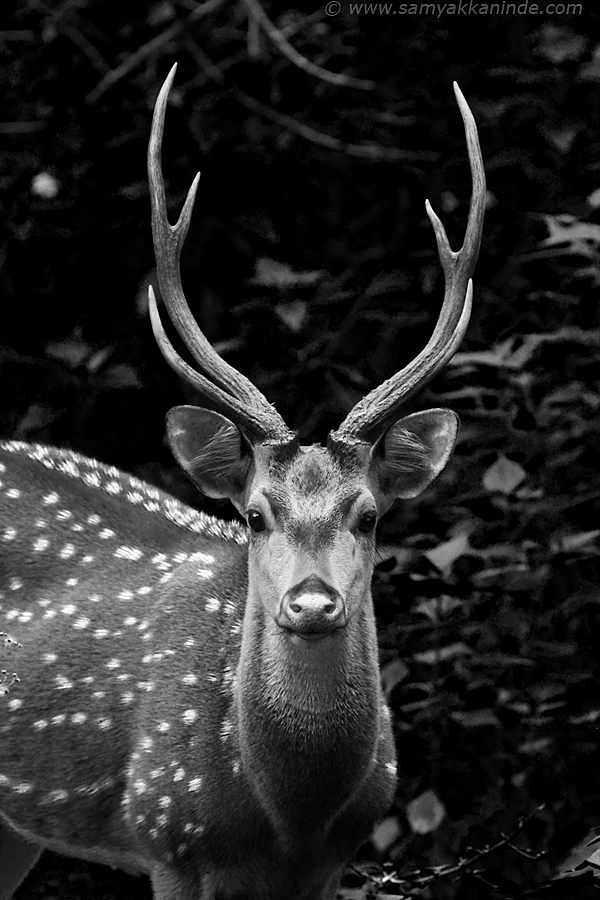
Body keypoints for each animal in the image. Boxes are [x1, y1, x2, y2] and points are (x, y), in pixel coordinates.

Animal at [0, 65, 488, 900]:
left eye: (368, 515)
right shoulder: (166, 832)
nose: (312, 602)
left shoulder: (330, 866)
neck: (287, 816)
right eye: (256, 515)